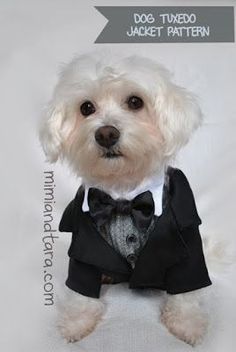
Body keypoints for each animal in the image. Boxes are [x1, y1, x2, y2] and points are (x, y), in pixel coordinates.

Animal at [39, 52, 211, 346]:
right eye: (86, 108)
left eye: (135, 102)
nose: (106, 133)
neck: (123, 194)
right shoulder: (83, 245)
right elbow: (81, 289)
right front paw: (77, 321)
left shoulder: (186, 238)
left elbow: (187, 288)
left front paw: (186, 323)